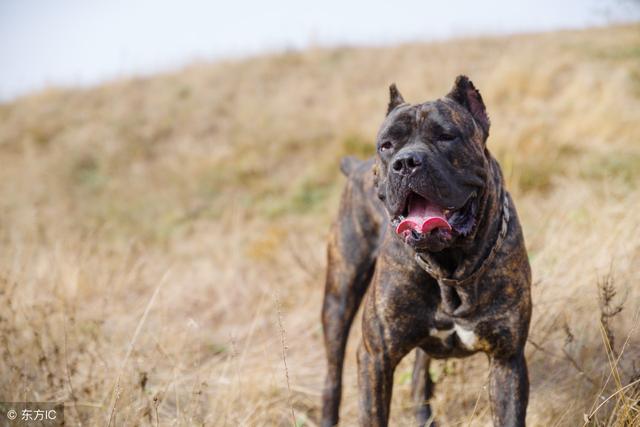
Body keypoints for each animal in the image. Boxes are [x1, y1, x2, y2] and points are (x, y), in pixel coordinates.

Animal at [322, 77, 532, 427]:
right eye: (387, 145)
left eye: (446, 136)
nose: (406, 162)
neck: (450, 268)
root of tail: (356, 167)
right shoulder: (375, 358)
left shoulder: (507, 360)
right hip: (338, 299)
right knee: (332, 373)